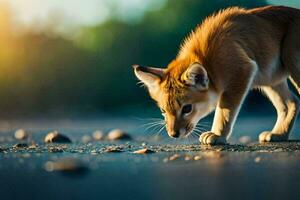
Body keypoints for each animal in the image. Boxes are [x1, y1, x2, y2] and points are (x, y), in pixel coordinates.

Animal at [134, 5, 300, 145]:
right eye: (163, 111)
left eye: (187, 109)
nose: (173, 134)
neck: (207, 60)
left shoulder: (242, 71)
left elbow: (225, 110)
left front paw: (217, 135)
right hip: (269, 77)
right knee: (292, 102)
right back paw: (279, 134)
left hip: (291, 62)